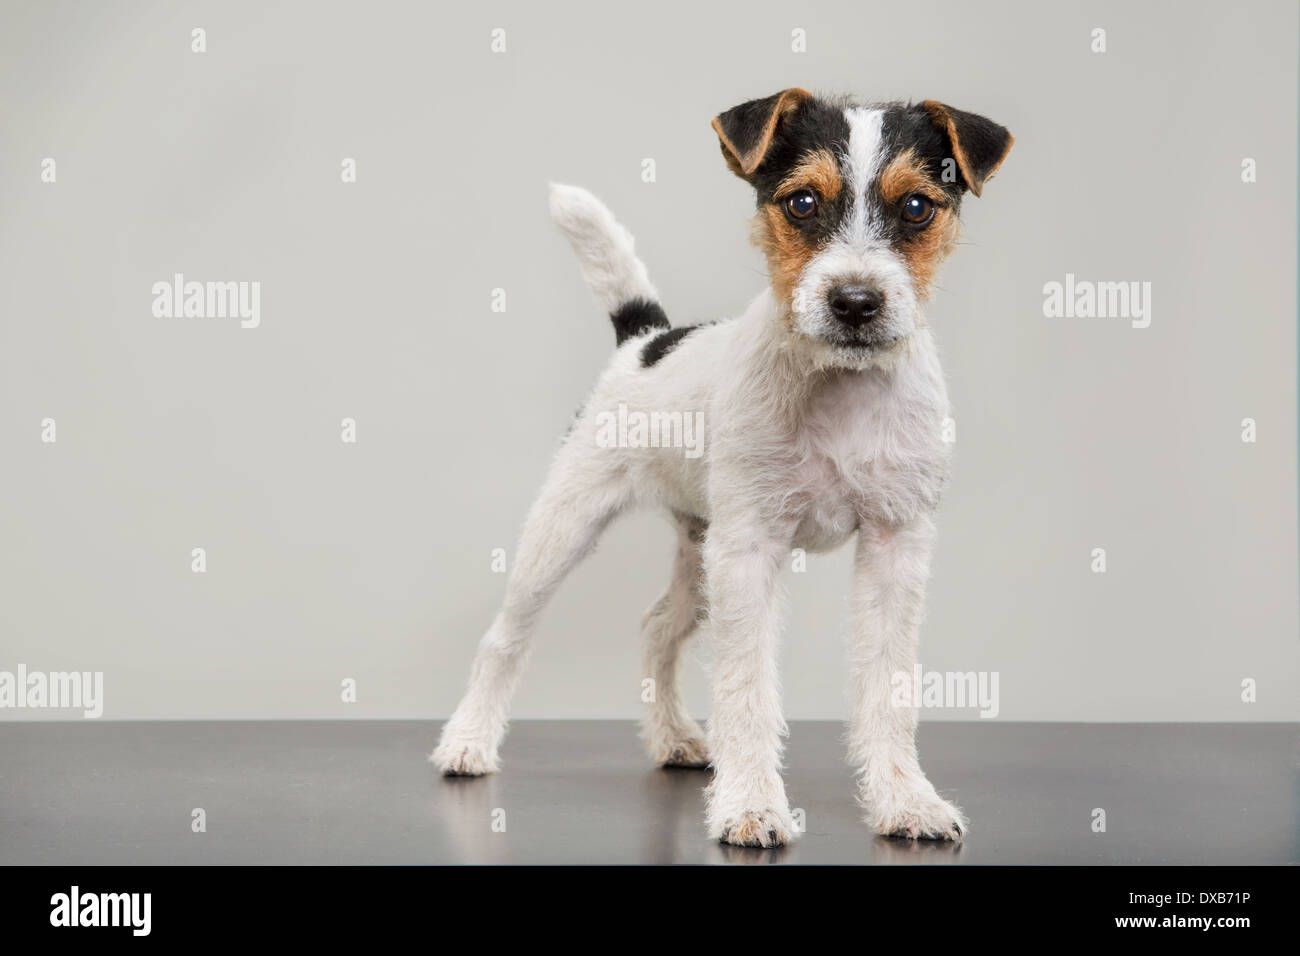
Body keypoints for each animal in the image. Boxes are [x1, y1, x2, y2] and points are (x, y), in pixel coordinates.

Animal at [436, 89, 1013, 848]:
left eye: (917, 206)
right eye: (801, 202)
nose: (855, 303)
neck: (838, 386)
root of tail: (646, 339)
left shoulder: (895, 545)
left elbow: (889, 688)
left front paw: (905, 800)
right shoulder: (750, 552)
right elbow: (747, 688)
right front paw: (750, 805)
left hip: (699, 547)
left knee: (657, 626)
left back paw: (673, 737)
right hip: (565, 529)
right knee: (505, 639)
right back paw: (468, 741)